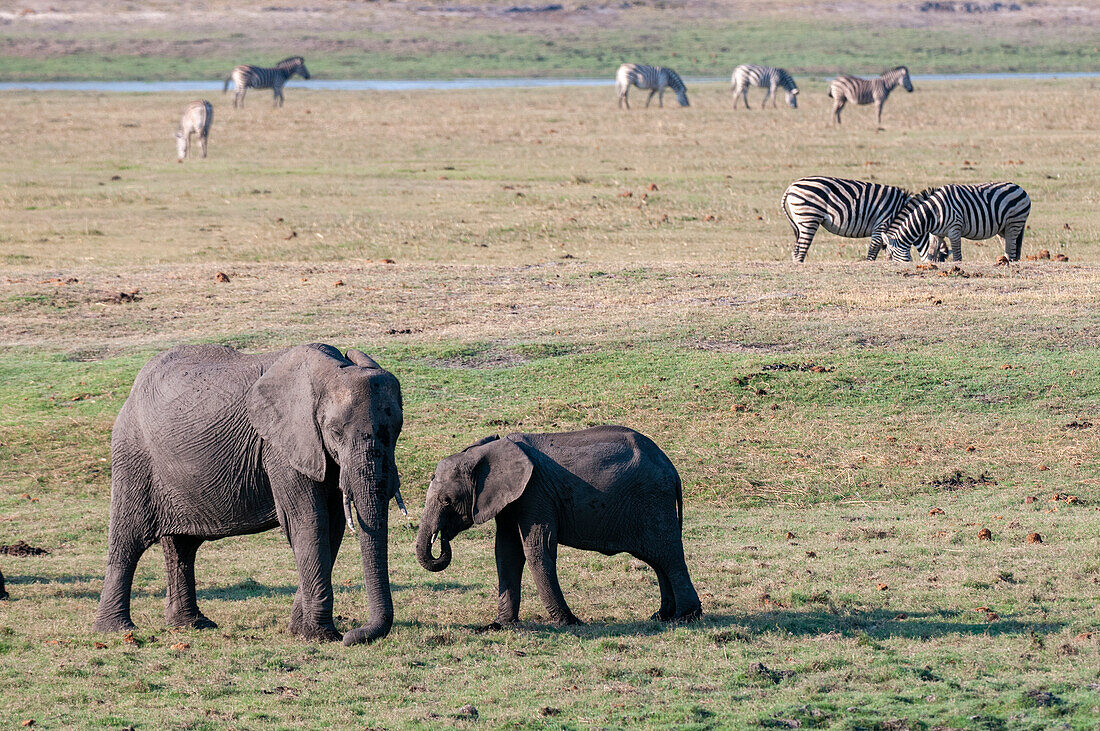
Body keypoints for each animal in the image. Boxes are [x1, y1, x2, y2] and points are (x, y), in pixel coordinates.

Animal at [93, 342, 404, 646]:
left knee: (182, 547)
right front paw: (321, 636)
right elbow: (309, 522)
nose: (353, 637)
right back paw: (116, 630)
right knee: (128, 541)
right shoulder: (281, 447)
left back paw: (192, 624)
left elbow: (332, 526)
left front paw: (298, 630)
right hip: (133, 455)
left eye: (397, 430)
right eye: (336, 432)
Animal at [415, 428, 699, 628]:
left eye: (447, 500)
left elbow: (537, 548)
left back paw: (685, 617)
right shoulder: (511, 500)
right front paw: (500, 625)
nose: (441, 538)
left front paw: (568, 622)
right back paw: (661, 616)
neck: (487, 450)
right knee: (657, 559)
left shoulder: (535, 492)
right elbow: (506, 551)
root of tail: (671, 468)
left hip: (652, 499)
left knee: (668, 555)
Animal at [778, 175, 924, 262]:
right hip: (809, 217)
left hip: (801, 221)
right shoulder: (881, 224)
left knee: (796, 250)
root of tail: (792, 186)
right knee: (801, 250)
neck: (899, 210)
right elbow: (873, 250)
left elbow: (888, 250)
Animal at [884, 181, 1029, 262]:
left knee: (1012, 249)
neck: (933, 214)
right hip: (1003, 229)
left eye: (891, 254)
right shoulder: (936, 234)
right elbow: (931, 255)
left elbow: (957, 257)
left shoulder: (954, 229)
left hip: (1014, 223)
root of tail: (1021, 189)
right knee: (1009, 247)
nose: (888, 264)